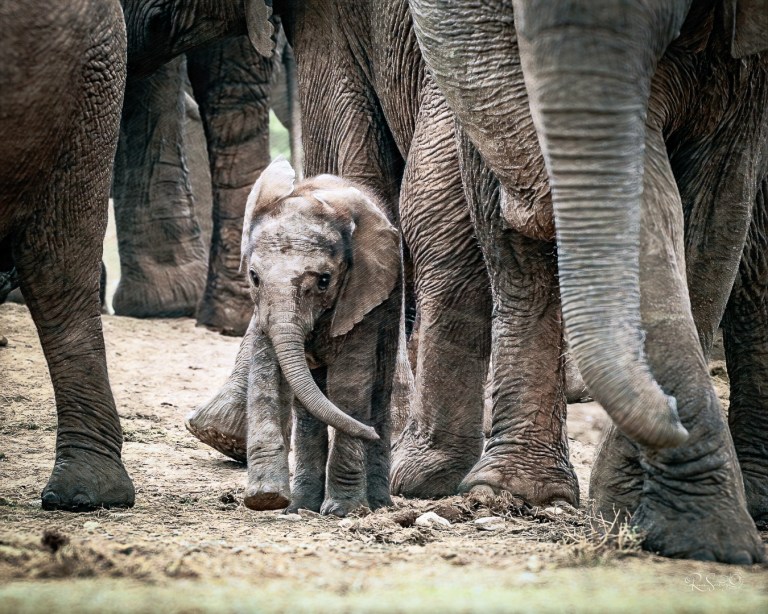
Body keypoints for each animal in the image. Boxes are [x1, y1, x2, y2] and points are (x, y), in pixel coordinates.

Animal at [237, 159, 400, 515]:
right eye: (254, 277)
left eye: (325, 280)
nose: (370, 434)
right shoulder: (262, 309)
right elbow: (266, 374)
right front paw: (267, 499)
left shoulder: (363, 296)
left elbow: (348, 385)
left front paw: (343, 511)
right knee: (308, 409)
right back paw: (300, 507)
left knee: (378, 391)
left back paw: (378, 504)